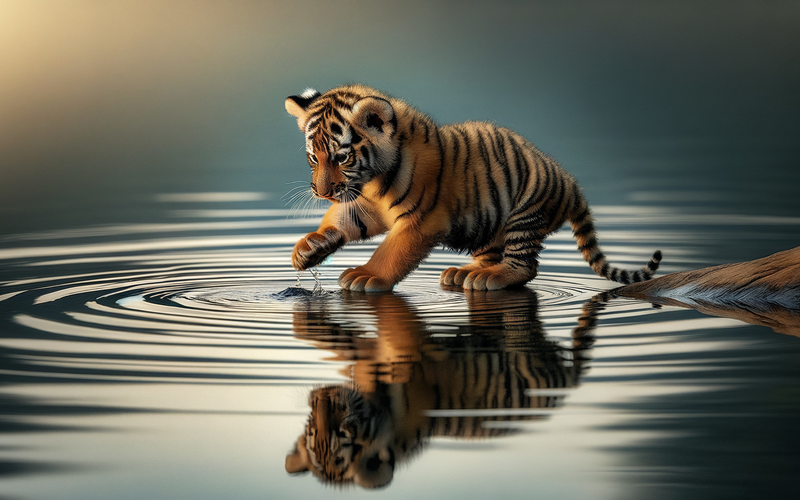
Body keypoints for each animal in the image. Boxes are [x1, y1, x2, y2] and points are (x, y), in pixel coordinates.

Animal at [285, 84, 662, 292]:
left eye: (342, 157)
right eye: (313, 158)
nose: (321, 192)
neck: (373, 182)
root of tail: (571, 183)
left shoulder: (421, 221)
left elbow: (391, 251)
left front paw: (365, 275)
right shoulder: (364, 206)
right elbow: (342, 221)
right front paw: (309, 247)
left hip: (525, 214)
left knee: (525, 266)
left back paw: (489, 278)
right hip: (490, 224)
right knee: (492, 254)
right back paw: (464, 273)